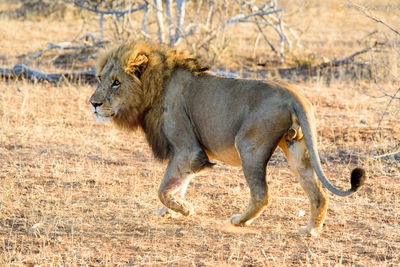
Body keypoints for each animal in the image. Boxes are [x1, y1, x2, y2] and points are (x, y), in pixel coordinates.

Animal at [90, 43, 366, 238]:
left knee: (262, 194)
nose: (93, 104)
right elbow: (179, 183)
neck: (154, 87)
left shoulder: (187, 149)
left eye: (116, 83)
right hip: (297, 148)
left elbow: (163, 189)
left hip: (249, 145)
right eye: (100, 79)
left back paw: (240, 220)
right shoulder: (189, 153)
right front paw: (173, 210)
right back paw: (310, 230)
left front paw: (184, 209)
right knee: (318, 194)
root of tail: (294, 94)